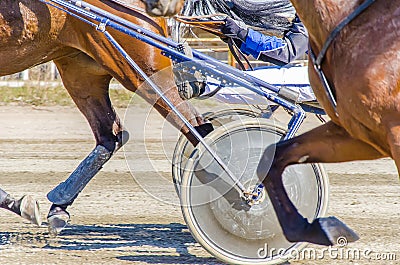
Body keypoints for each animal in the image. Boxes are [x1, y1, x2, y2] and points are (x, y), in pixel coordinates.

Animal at [0, 0, 206, 231]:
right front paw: (17, 203)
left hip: (142, 71)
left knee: (197, 126)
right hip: (81, 70)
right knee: (110, 136)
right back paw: (59, 204)